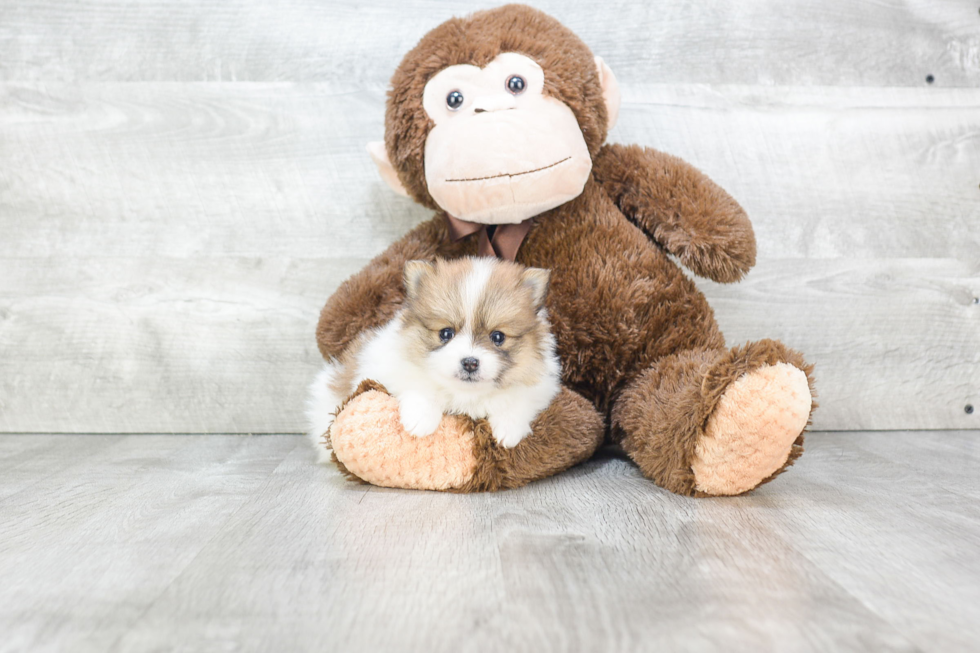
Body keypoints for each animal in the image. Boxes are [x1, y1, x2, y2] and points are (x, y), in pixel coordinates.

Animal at [310, 256, 564, 454]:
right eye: (446, 333)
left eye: (498, 337)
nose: (470, 363)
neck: (464, 395)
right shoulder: (389, 368)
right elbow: (419, 385)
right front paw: (420, 420)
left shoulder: (541, 387)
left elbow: (519, 399)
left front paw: (509, 429)